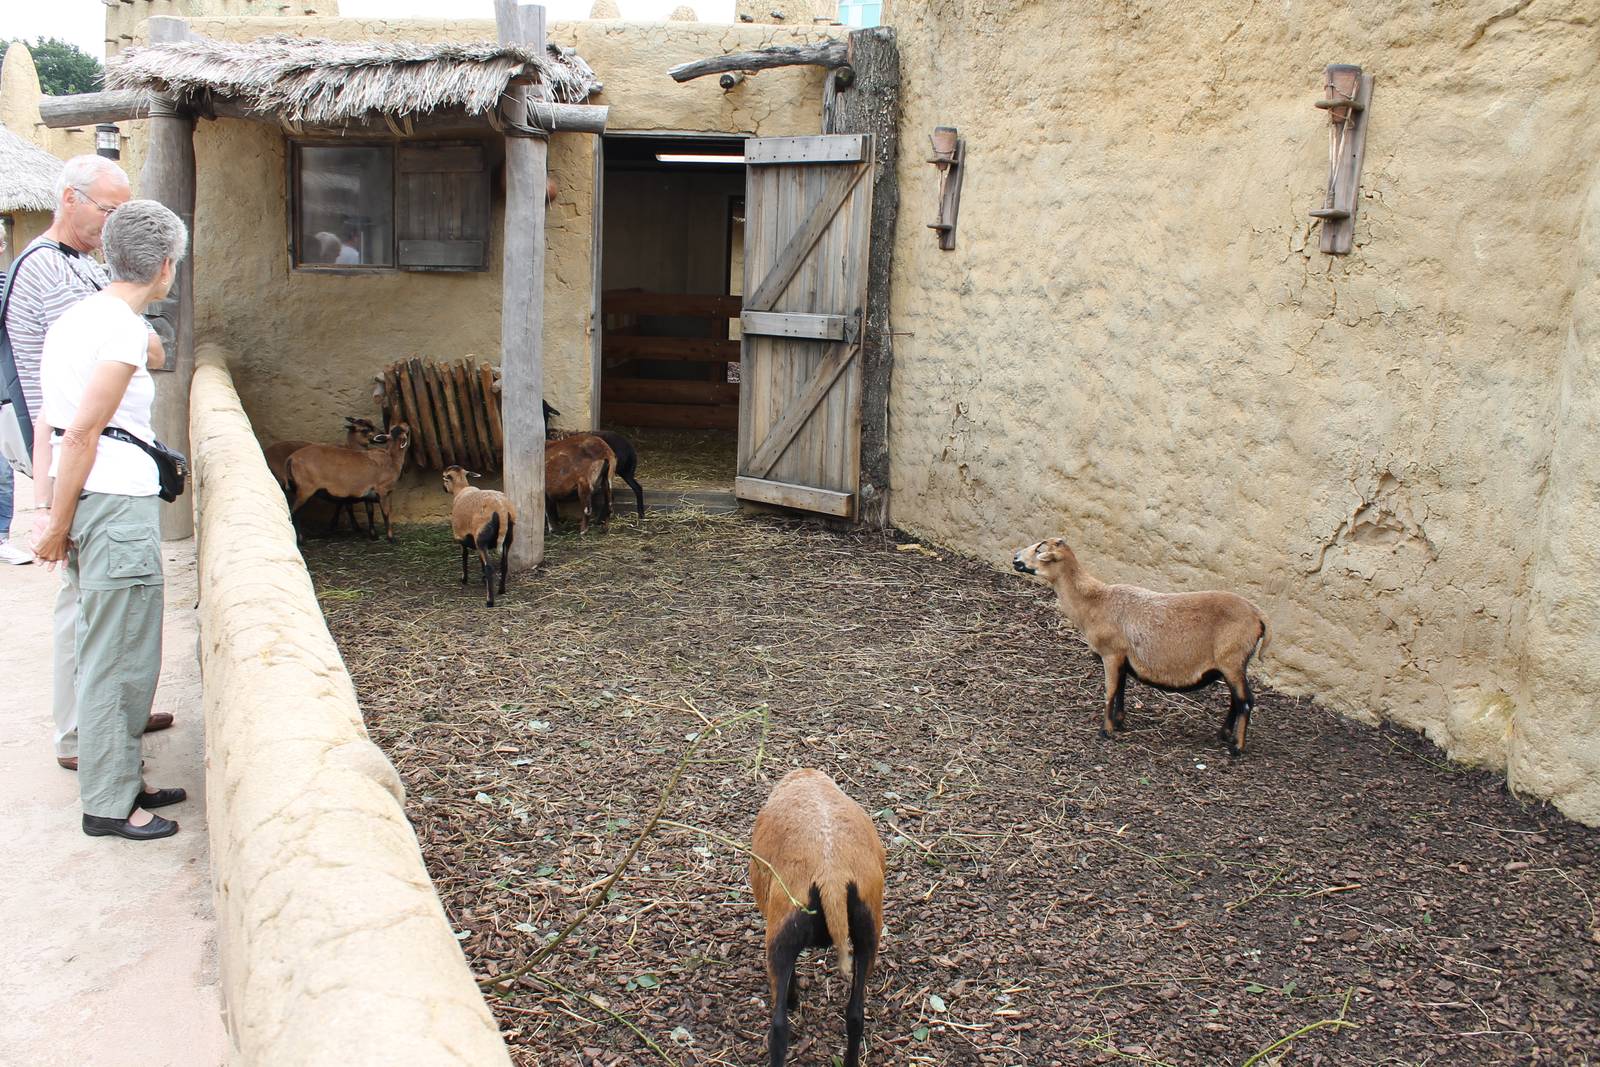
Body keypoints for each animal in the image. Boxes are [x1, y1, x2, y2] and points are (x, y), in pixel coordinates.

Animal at [441, 466, 516, 607]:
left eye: (445, 478)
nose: (443, 488)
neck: (461, 489)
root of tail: (501, 508)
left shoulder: (462, 539)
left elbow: (465, 556)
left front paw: (464, 579)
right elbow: (480, 559)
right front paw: (483, 579)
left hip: (481, 537)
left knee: (489, 567)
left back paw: (489, 601)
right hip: (508, 537)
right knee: (504, 563)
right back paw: (501, 590)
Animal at [749, 768, 886, 1067]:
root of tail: (831, 876)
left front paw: (793, 998)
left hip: (780, 934)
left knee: (779, 1028)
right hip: (868, 934)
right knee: (855, 1016)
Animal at [1013, 537, 1270, 756]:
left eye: (1039, 549)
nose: (1015, 558)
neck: (1095, 602)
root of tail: (1259, 616)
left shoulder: (1111, 654)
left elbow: (1110, 691)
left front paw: (1106, 731)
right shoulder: (1123, 658)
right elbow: (1121, 688)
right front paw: (1119, 721)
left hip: (1232, 660)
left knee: (1245, 701)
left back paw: (1236, 747)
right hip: (1232, 665)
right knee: (1236, 699)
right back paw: (1224, 734)